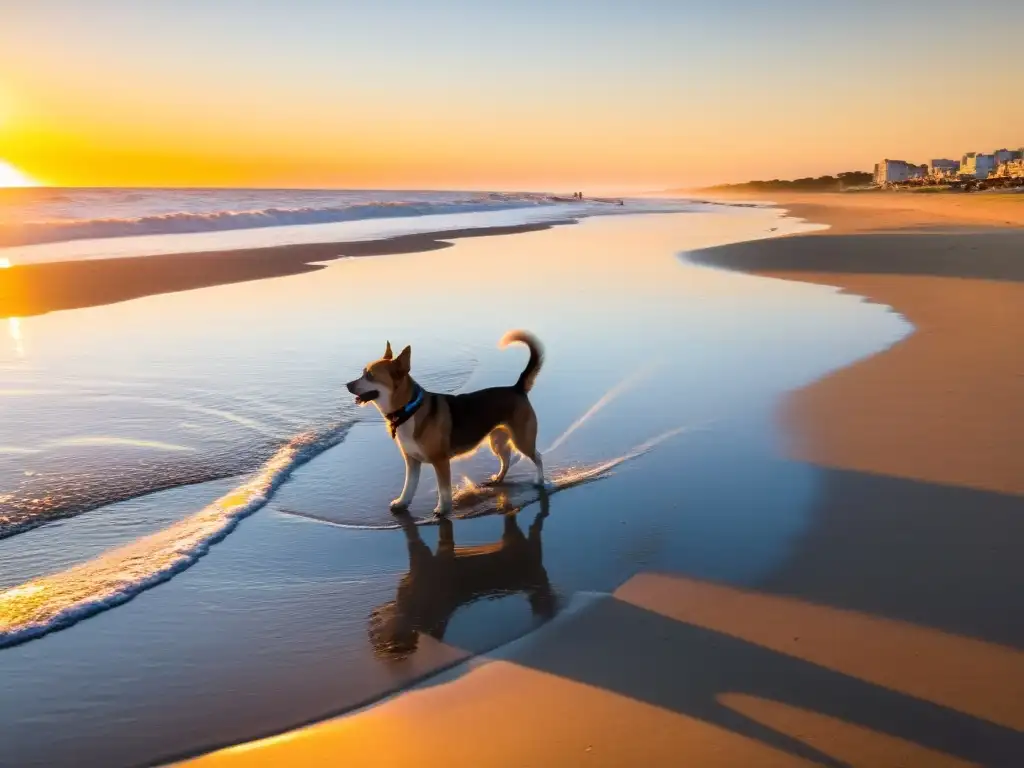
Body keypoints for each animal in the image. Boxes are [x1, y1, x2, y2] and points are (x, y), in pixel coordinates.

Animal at [346, 331, 544, 518]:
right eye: (363, 372)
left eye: (370, 376)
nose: (347, 385)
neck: (409, 409)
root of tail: (516, 388)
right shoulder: (412, 461)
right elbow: (409, 486)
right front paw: (402, 502)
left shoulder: (440, 461)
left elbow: (443, 489)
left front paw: (443, 508)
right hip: (497, 441)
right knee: (506, 458)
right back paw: (499, 479)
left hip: (522, 440)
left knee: (537, 456)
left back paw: (540, 481)